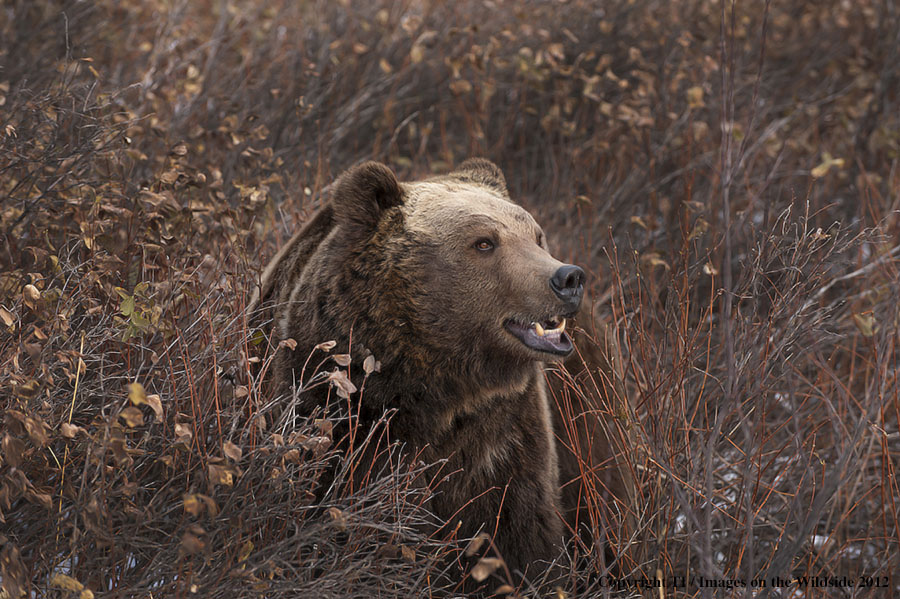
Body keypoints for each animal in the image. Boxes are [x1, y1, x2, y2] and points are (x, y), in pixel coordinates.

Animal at [251, 159, 632, 580]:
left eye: (536, 235)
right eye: (484, 242)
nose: (568, 278)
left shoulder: (504, 435)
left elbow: (520, 530)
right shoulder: (328, 400)